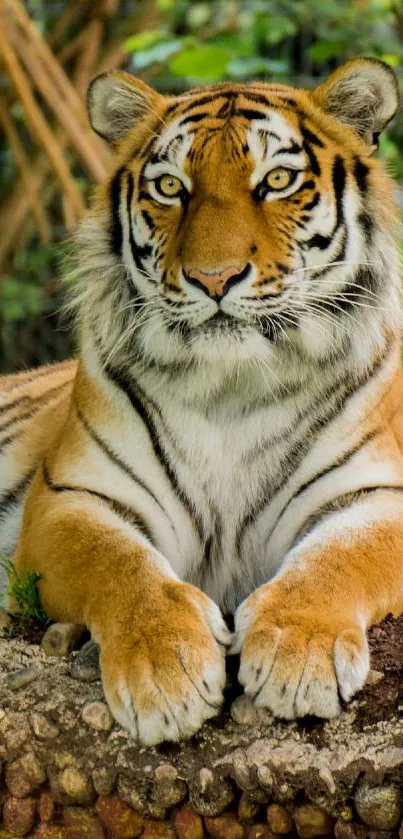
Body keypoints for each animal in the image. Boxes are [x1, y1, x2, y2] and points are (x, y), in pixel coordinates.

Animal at [0, 55, 403, 744]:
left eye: (276, 180)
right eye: (170, 187)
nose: (214, 278)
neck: (231, 387)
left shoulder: (378, 493)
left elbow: (339, 558)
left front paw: (299, 652)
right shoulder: (69, 498)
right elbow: (120, 565)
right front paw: (167, 670)